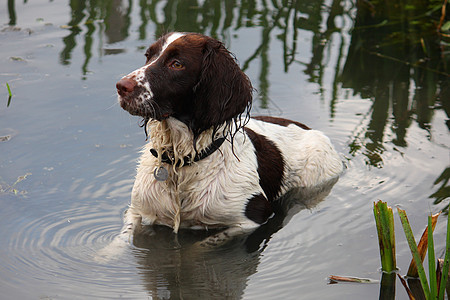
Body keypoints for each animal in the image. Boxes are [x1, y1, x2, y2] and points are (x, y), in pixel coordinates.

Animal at [115, 31, 342, 241]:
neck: (182, 163)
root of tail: (309, 128)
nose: (121, 86)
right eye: (148, 56)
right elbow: (120, 240)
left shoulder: (251, 219)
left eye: (177, 64)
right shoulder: (137, 211)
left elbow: (202, 246)